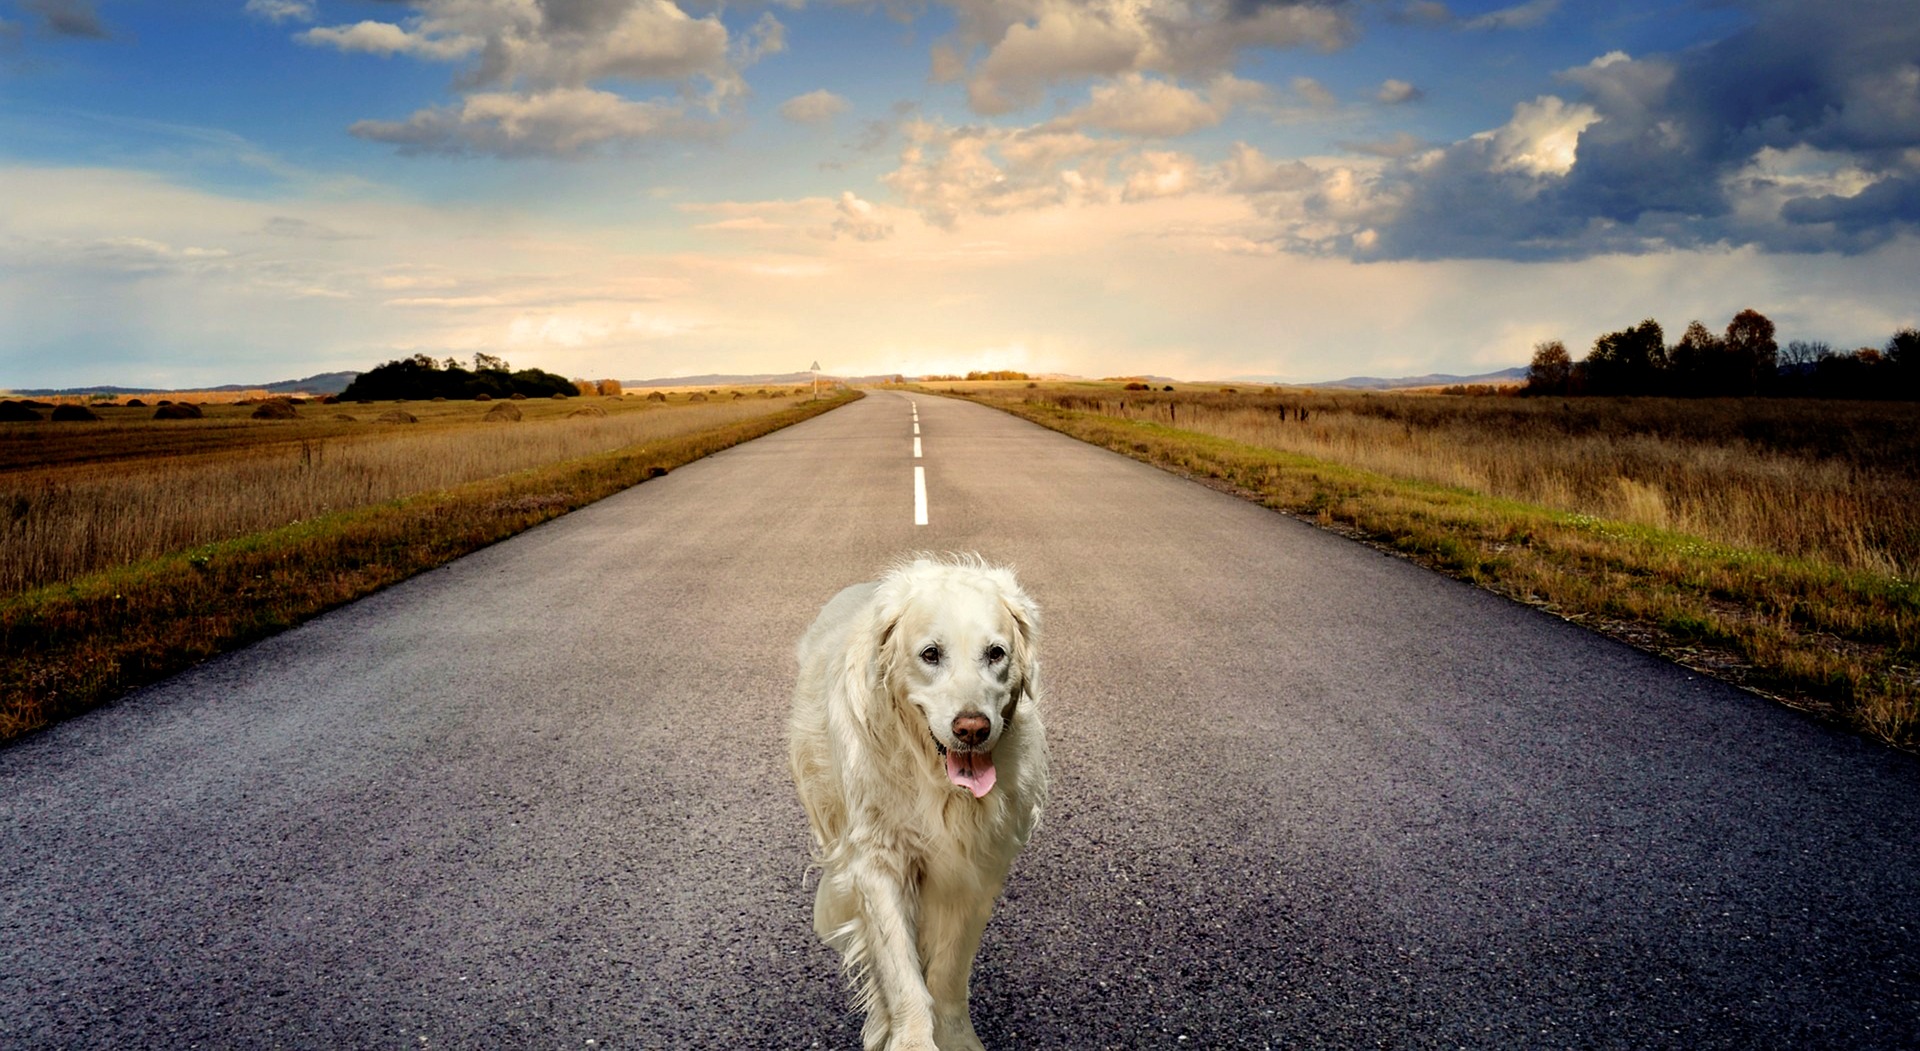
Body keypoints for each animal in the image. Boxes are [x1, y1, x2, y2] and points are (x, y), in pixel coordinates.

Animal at [787, 553, 1052, 1045]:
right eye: (931, 654)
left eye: (996, 653)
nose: (973, 728)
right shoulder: (876, 862)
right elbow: (900, 971)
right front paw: (909, 1037)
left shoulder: (974, 869)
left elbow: (948, 971)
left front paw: (954, 1037)